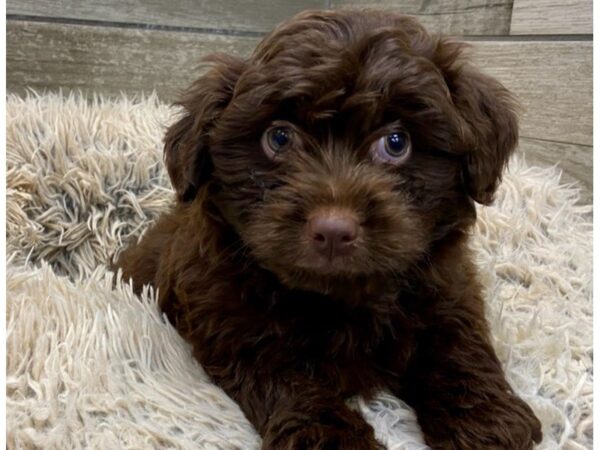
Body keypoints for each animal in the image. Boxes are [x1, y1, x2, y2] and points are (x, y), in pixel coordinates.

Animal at [117, 10, 544, 450]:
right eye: (279, 137)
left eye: (396, 142)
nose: (334, 230)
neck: (339, 297)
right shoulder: (230, 320)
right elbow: (287, 378)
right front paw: (331, 437)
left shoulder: (448, 290)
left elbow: (456, 344)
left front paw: (486, 419)